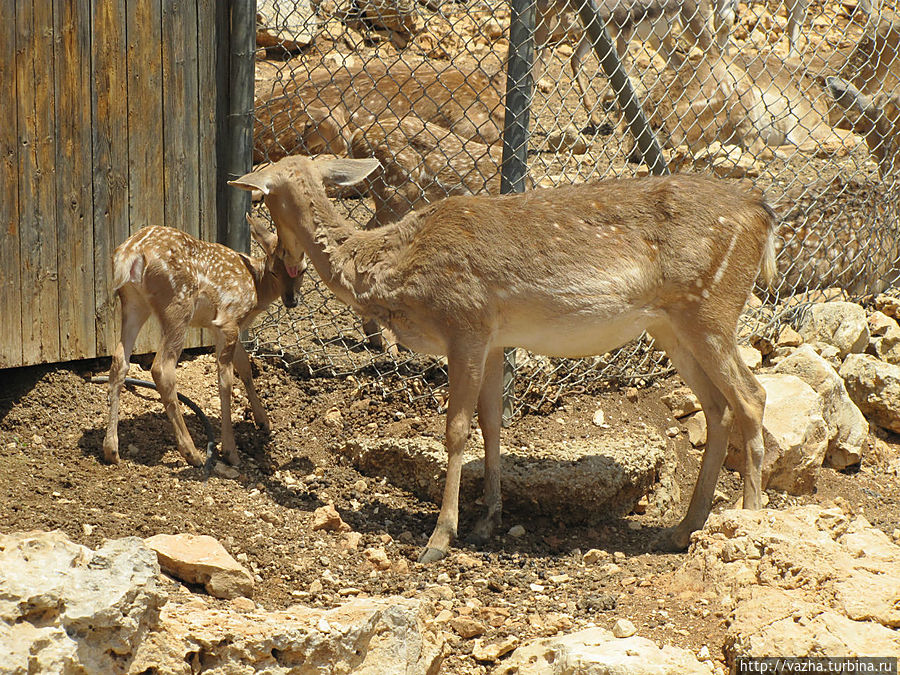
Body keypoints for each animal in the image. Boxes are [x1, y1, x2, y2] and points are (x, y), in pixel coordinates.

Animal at [103, 222, 304, 470]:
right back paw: (192, 454)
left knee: (119, 361)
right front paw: (230, 451)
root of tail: (131, 253)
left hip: (134, 302)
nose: (291, 300)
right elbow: (225, 381)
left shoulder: (218, 328)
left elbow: (245, 365)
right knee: (161, 368)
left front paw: (263, 421)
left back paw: (111, 450)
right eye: (275, 271)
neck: (257, 288)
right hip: (177, 304)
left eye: (303, 270)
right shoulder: (229, 319)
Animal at [230, 156, 772, 564]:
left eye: (264, 203)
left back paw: (747, 526)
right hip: (670, 325)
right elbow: (491, 423)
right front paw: (487, 520)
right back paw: (682, 531)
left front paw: (439, 538)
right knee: (718, 406)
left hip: (709, 308)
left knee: (752, 396)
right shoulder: (492, 339)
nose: (286, 271)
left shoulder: (464, 321)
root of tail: (762, 214)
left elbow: (456, 429)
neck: (396, 270)